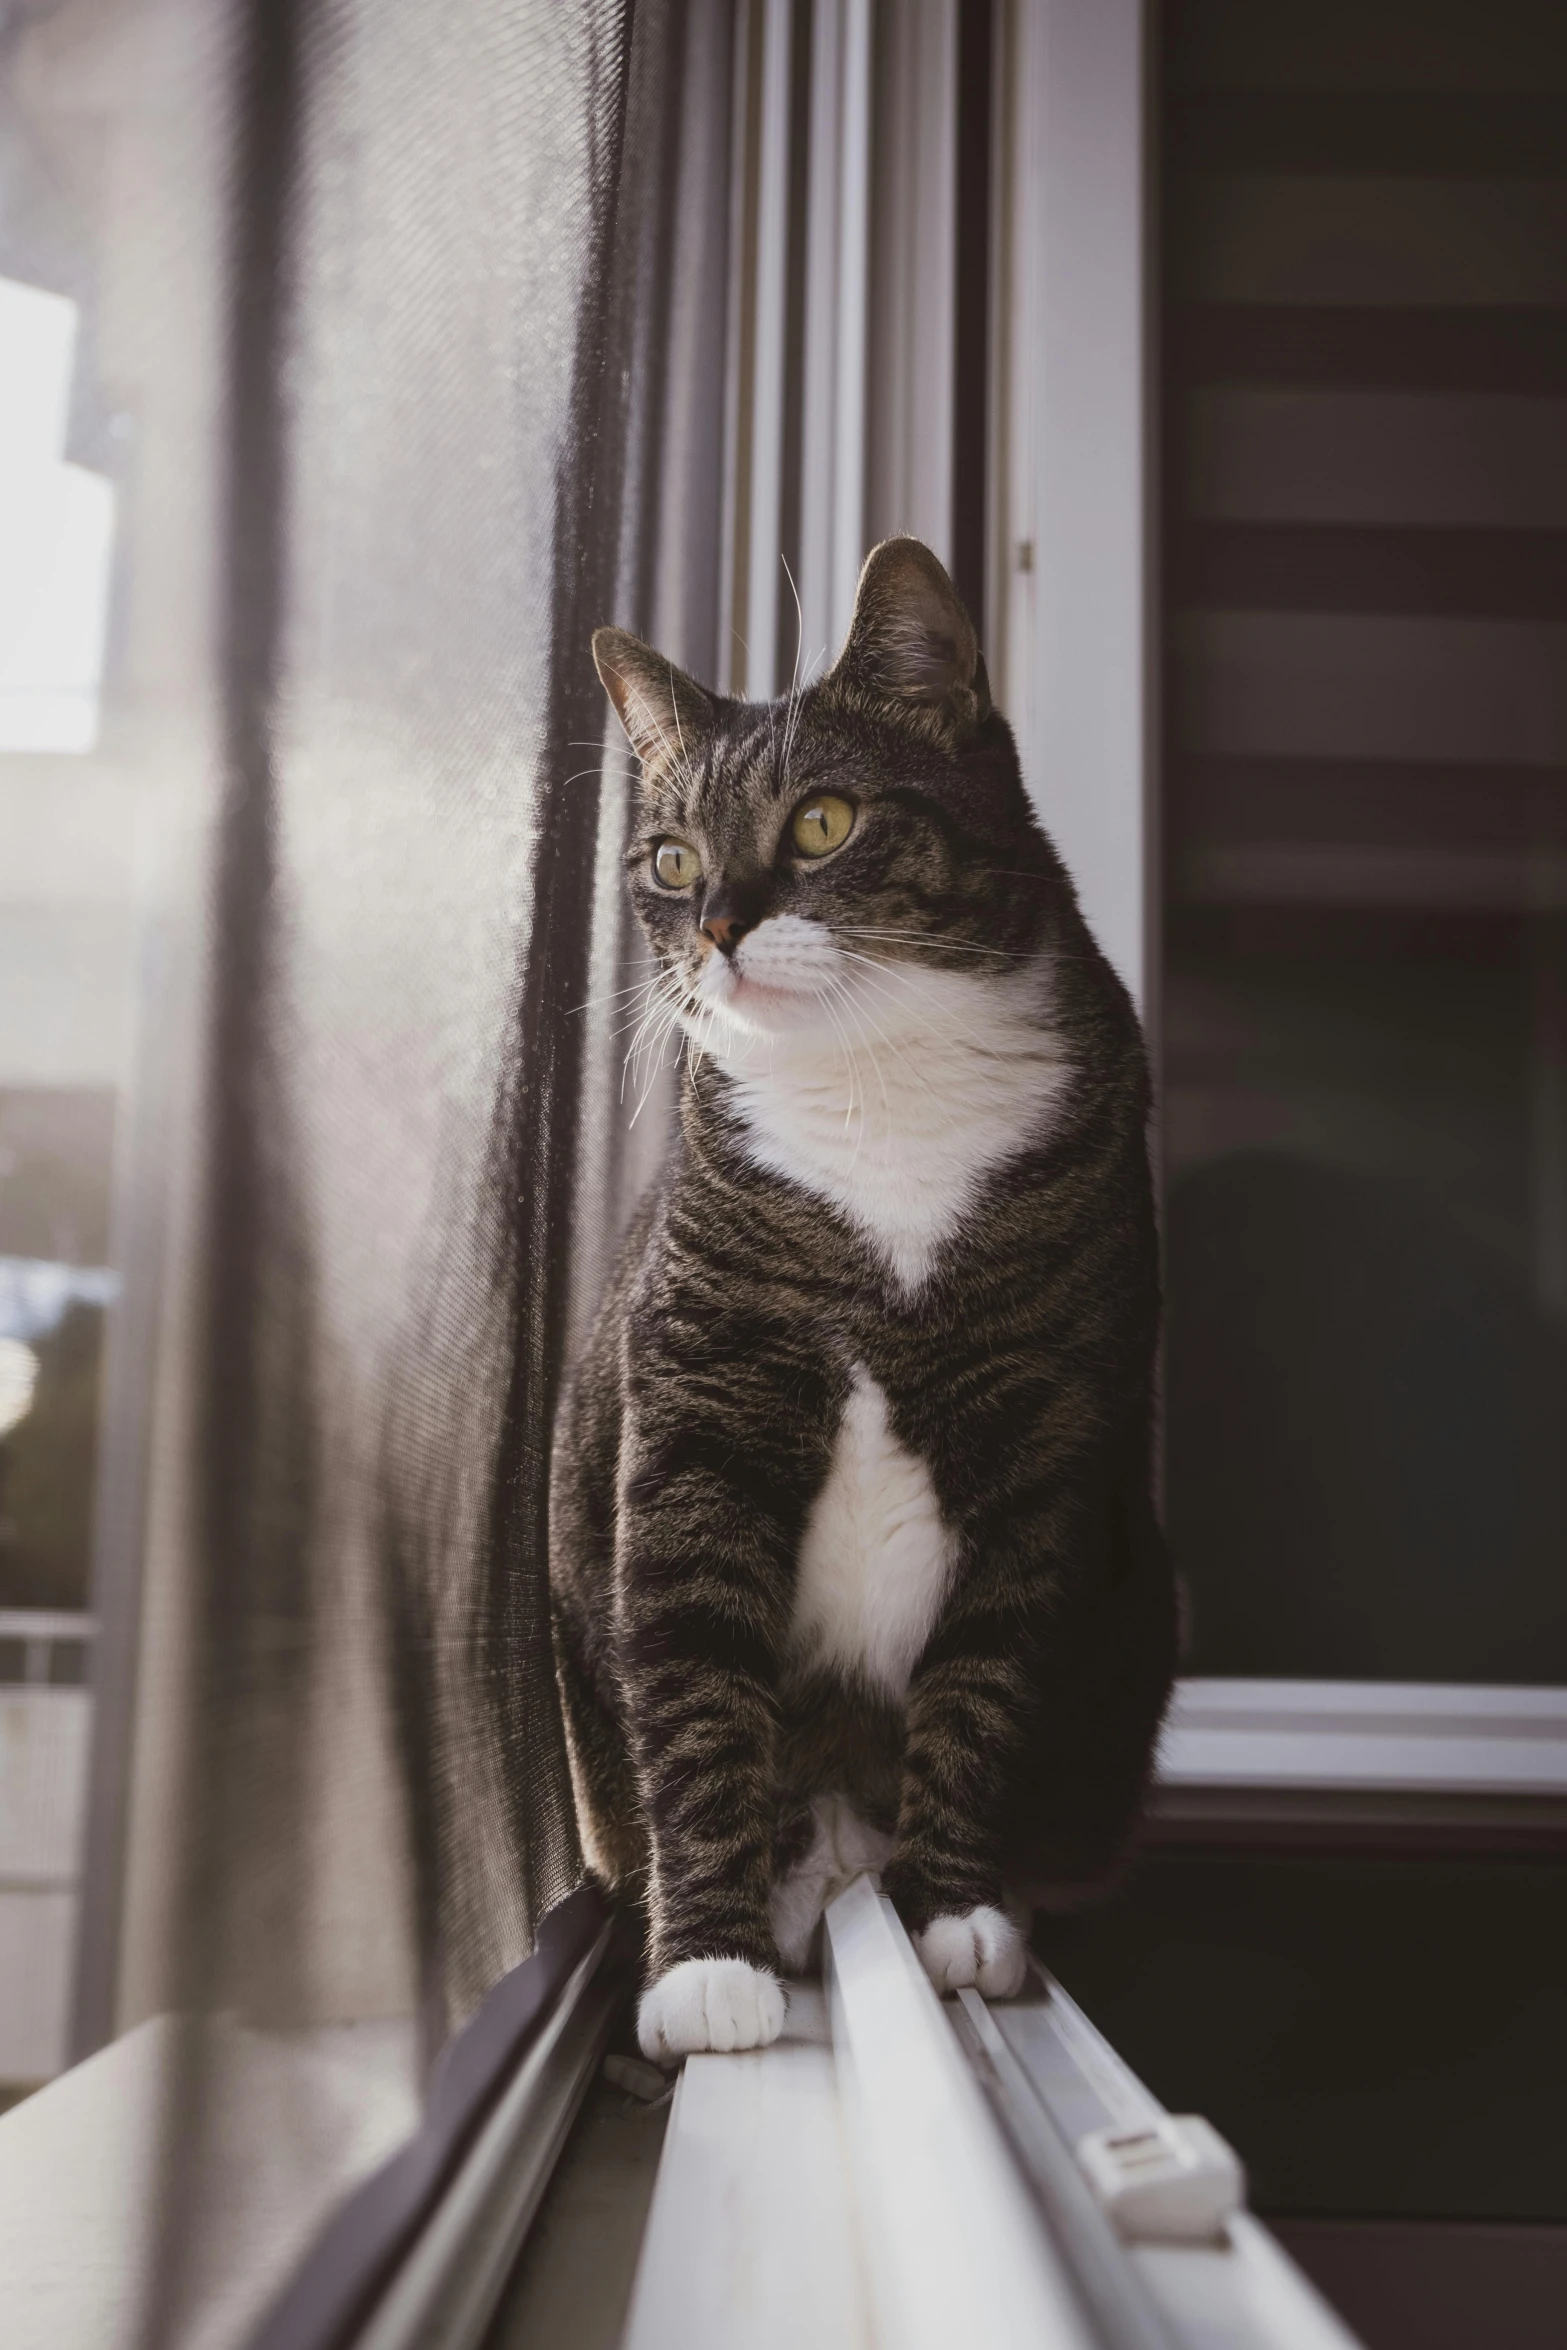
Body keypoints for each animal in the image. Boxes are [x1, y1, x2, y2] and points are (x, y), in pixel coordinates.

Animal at [552, 540, 1174, 2068]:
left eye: (823, 820)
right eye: (670, 858)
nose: (720, 924)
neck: (881, 1084)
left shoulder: (1049, 1426)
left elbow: (988, 1672)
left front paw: (952, 1910)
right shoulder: (700, 1392)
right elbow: (694, 1672)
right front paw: (706, 1966)